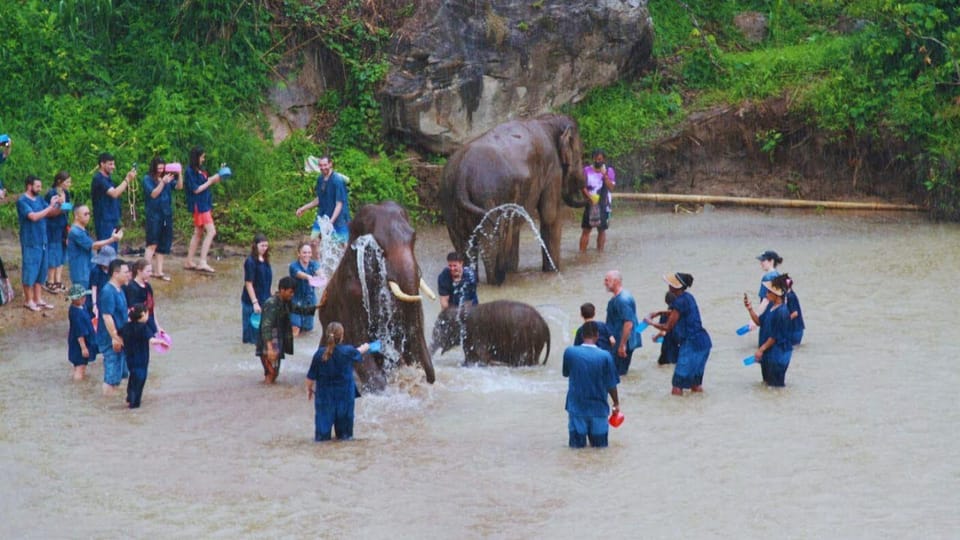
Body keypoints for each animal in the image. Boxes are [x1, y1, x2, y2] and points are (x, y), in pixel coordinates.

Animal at [440, 112, 584, 284]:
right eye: (580, 156)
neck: (546, 120)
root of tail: (462, 174)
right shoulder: (553, 168)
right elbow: (550, 215)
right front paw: (553, 271)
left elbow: (515, 226)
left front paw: (512, 271)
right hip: (487, 197)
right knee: (491, 241)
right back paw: (497, 280)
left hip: (450, 203)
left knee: (462, 244)